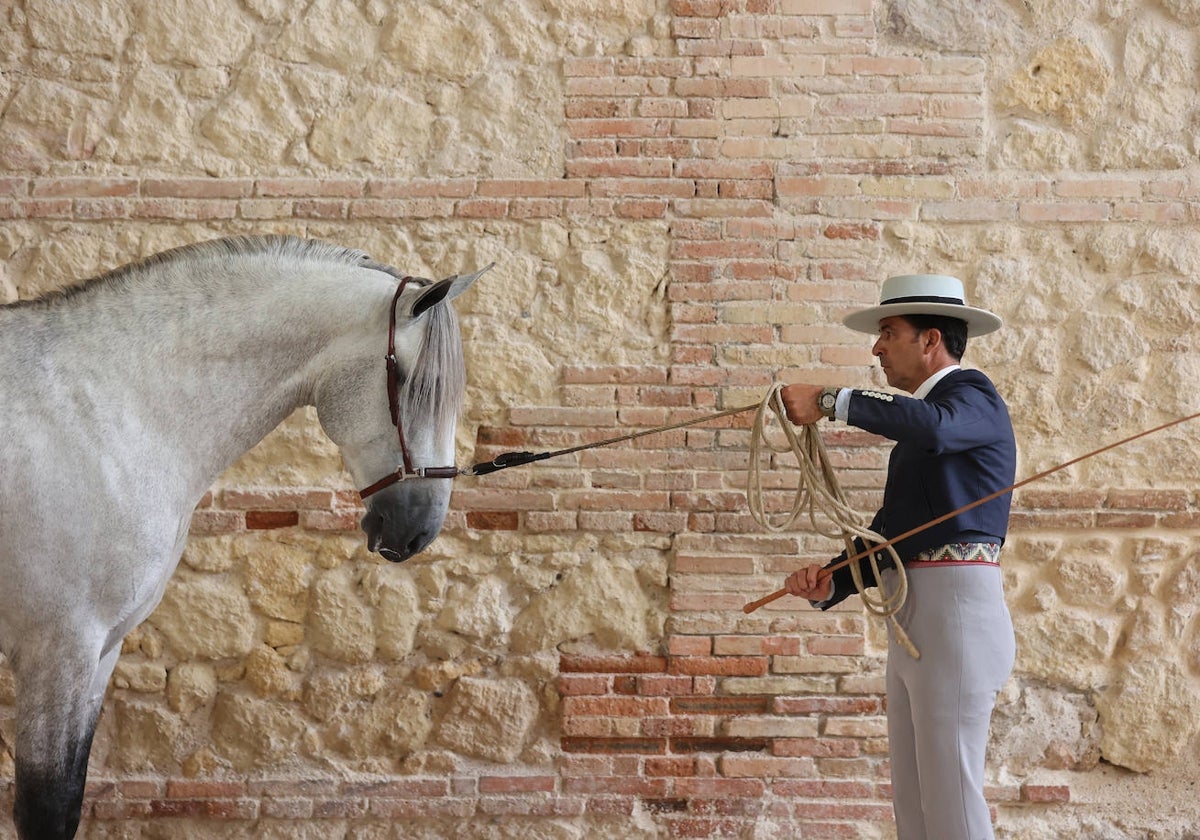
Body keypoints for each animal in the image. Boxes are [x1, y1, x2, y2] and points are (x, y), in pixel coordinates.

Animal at [0, 236, 482, 840]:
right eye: (411, 383)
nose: (419, 530)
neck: (110, 411)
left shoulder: (99, 652)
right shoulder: (58, 651)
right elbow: (48, 808)